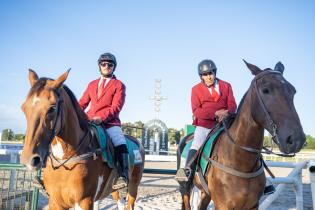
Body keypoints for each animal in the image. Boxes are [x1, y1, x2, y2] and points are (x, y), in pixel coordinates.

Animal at [20, 69, 146, 209]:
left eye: (52, 108)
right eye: (24, 108)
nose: (29, 160)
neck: (66, 159)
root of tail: (137, 142)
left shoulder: (84, 201)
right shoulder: (55, 202)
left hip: (133, 186)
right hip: (113, 189)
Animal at [179, 60, 308, 209]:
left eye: (292, 90)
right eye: (266, 90)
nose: (296, 140)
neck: (241, 162)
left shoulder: (253, 205)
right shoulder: (223, 205)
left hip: (205, 193)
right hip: (186, 189)